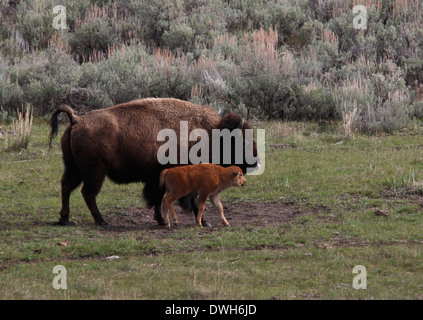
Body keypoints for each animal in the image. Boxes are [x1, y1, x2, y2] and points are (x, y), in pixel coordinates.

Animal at [49, 99, 258, 226]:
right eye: (242, 141)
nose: (255, 162)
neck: (209, 133)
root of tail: (76, 120)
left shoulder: (157, 179)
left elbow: (159, 199)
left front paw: (162, 220)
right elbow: (188, 200)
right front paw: (202, 222)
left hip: (74, 168)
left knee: (66, 187)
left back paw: (64, 218)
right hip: (95, 172)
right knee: (88, 193)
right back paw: (102, 221)